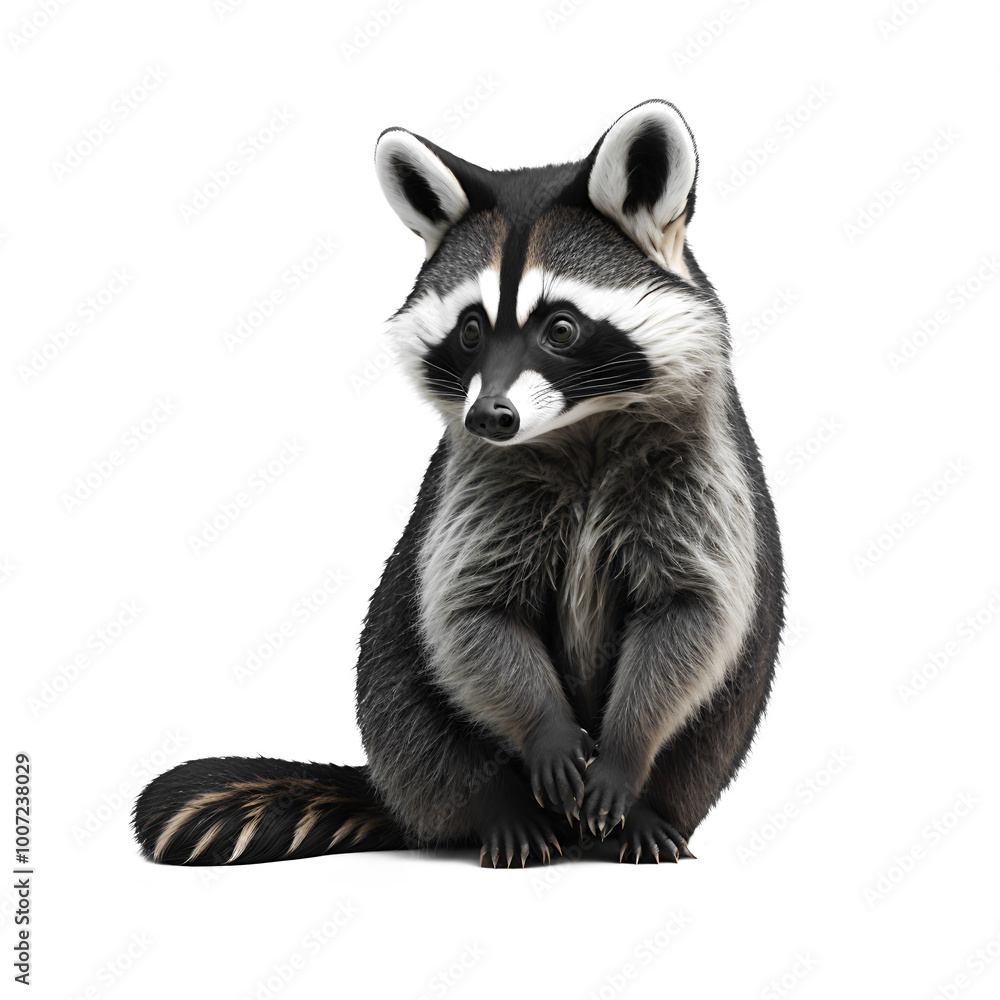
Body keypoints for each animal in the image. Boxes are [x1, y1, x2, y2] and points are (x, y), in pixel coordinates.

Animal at [133, 100, 784, 868]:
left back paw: (652, 813)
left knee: (719, 703)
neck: (579, 429)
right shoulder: (478, 479)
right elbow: (471, 610)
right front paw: (547, 732)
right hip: (397, 702)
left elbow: (691, 609)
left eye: (561, 329)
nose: (489, 414)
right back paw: (498, 811)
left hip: (730, 717)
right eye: (471, 330)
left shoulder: (694, 465)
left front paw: (626, 751)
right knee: (419, 716)